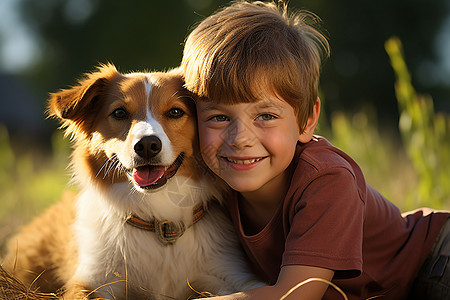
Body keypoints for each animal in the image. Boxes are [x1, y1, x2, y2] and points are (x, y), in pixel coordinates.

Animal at [0, 64, 264, 298]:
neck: (159, 216)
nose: (147, 145)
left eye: (175, 112)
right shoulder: (93, 281)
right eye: (119, 113)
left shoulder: (231, 274)